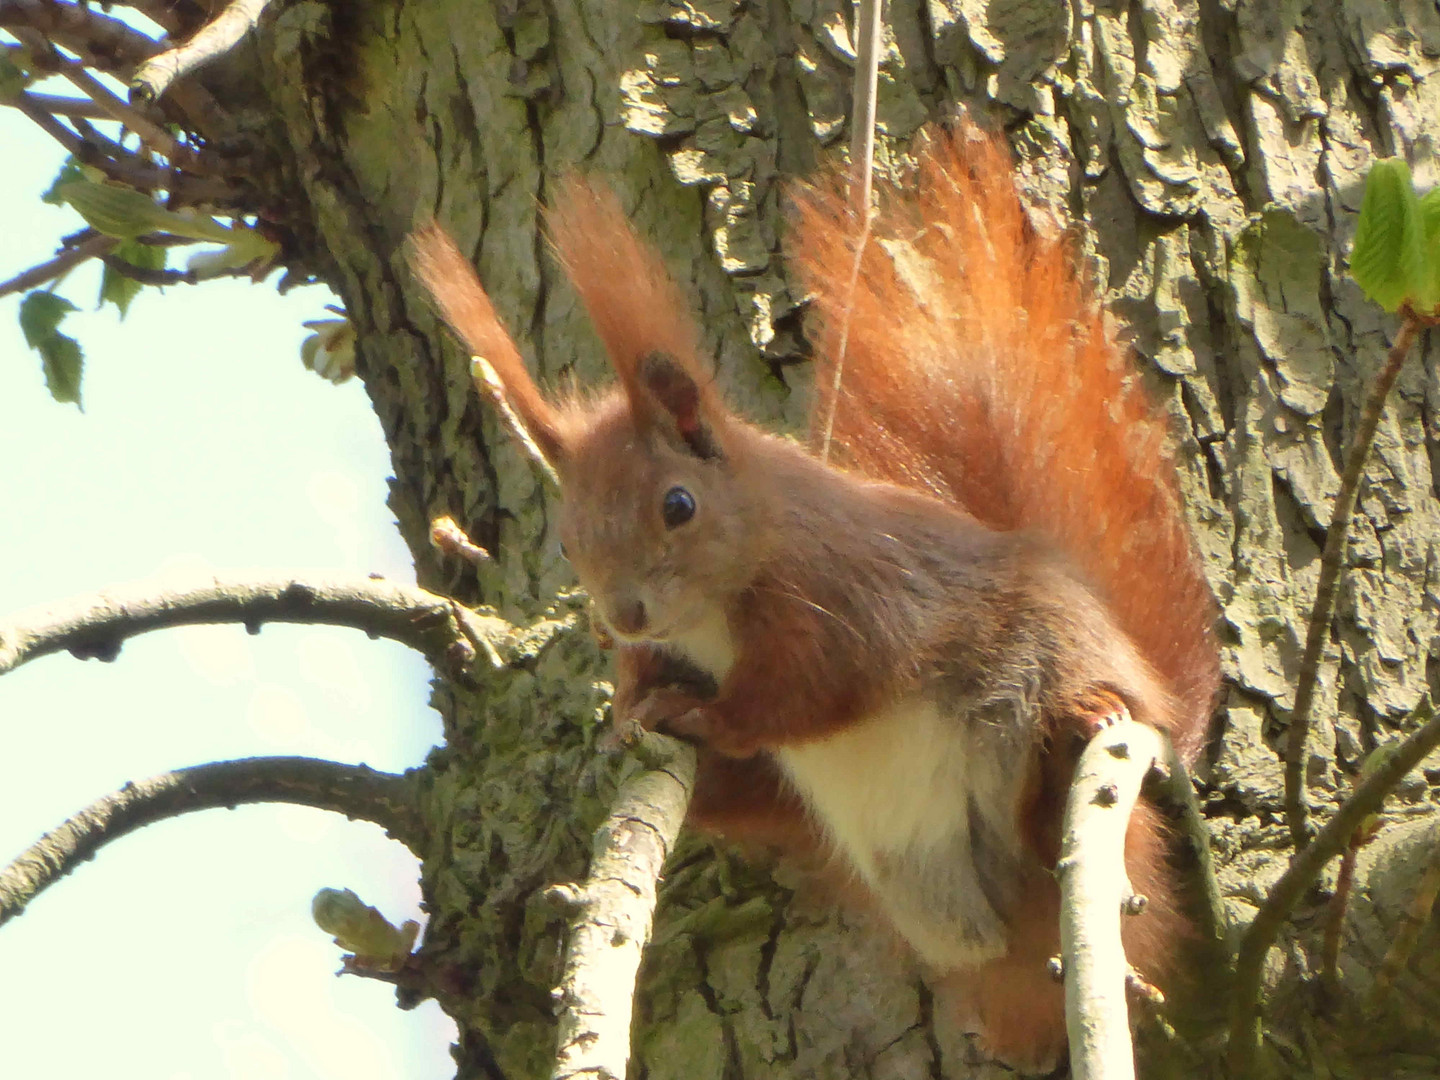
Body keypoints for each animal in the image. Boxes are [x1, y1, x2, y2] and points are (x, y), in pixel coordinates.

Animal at [411, 122, 1221, 1071]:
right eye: (568, 540)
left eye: (678, 505)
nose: (626, 614)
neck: (717, 610)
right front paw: (628, 711)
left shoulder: (847, 596)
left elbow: (813, 688)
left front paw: (712, 714)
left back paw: (1078, 727)